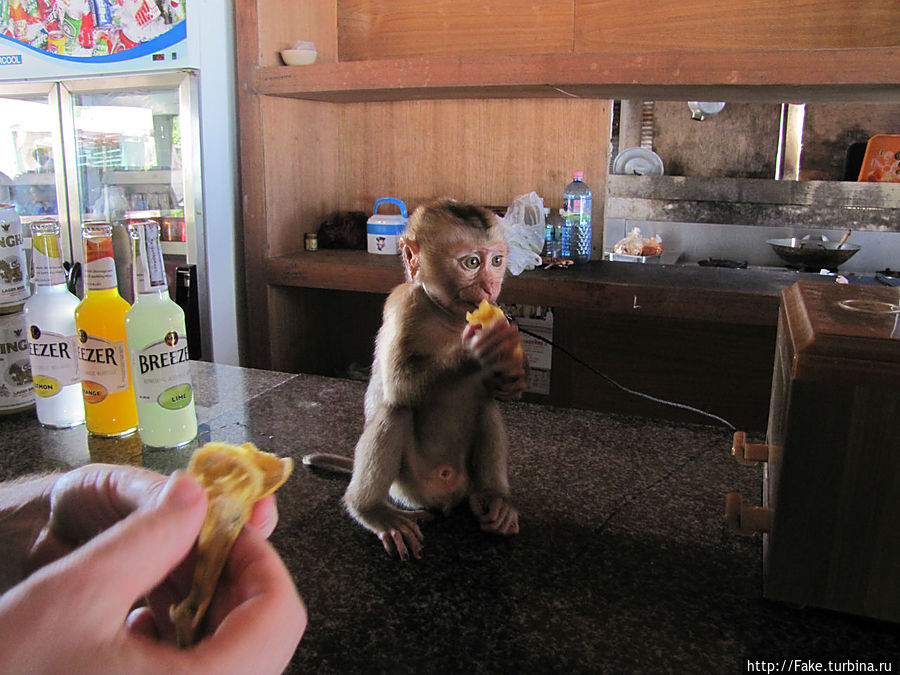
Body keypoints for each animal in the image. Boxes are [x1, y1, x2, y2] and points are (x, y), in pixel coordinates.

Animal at [304, 199, 528, 560]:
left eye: (496, 261)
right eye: (472, 262)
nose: (490, 288)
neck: (446, 315)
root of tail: (445, 497)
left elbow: (497, 392)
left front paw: (513, 377)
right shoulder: (402, 305)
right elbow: (399, 385)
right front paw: (476, 349)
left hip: (463, 481)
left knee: (486, 409)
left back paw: (493, 498)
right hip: (408, 487)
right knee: (395, 410)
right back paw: (371, 510)